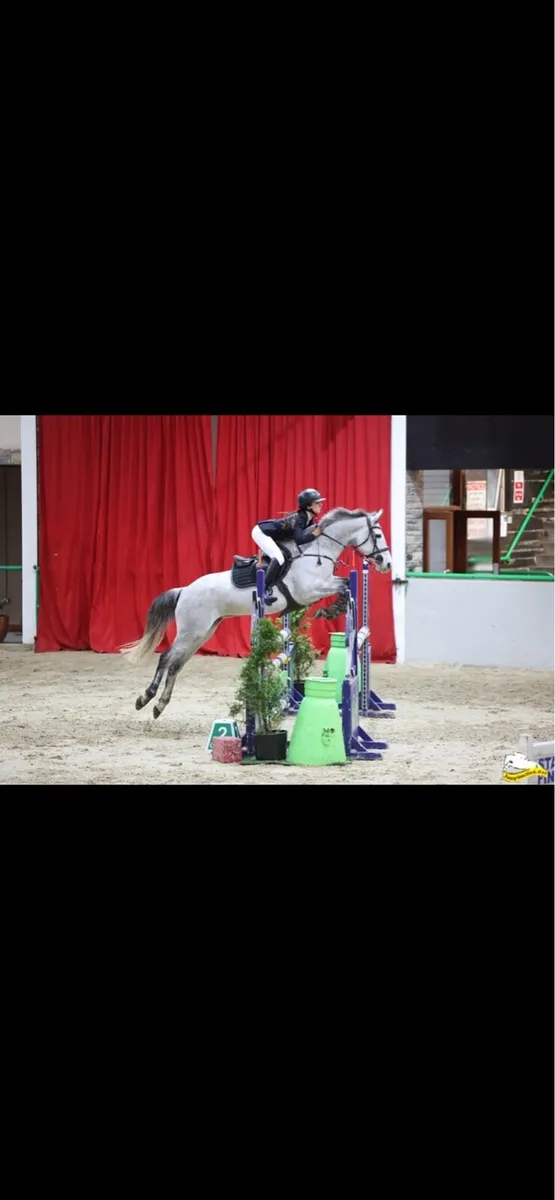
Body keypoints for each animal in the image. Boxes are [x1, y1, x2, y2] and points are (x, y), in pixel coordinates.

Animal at [120, 507, 392, 719]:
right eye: (378, 534)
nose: (387, 564)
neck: (318, 549)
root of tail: (184, 590)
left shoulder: (322, 585)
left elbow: (344, 584)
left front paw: (331, 609)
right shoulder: (310, 590)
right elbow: (343, 586)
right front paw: (329, 610)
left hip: (203, 632)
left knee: (176, 663)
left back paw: (160, 705)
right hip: (192, 631)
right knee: (166, 657)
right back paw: (145, 698)